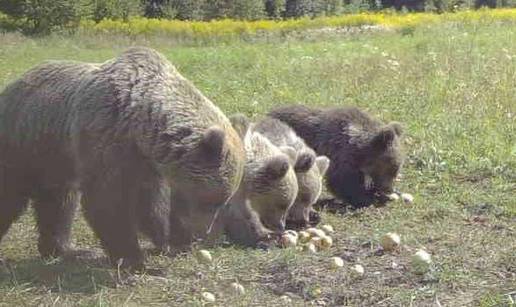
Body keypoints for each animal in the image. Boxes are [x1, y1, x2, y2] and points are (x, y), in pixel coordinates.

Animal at [0, 47, 246, 270]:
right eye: (212, 200)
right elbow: (109, 200)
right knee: (11, 196)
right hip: (23, 146)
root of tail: (11, 86)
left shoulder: (144, 162)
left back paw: (66, 250)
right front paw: (133, 259)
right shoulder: (105, 139)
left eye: (223, 201)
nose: (202, 234)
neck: (139, 125)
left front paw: (168, 242)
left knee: (59, 203)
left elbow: (150, 204)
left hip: (56, 159)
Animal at [268, 104, 406, 208]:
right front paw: (365, 198)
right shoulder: (340, 153)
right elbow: (342, 180)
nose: (389, 189)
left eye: (396, 168)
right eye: (391, 167)